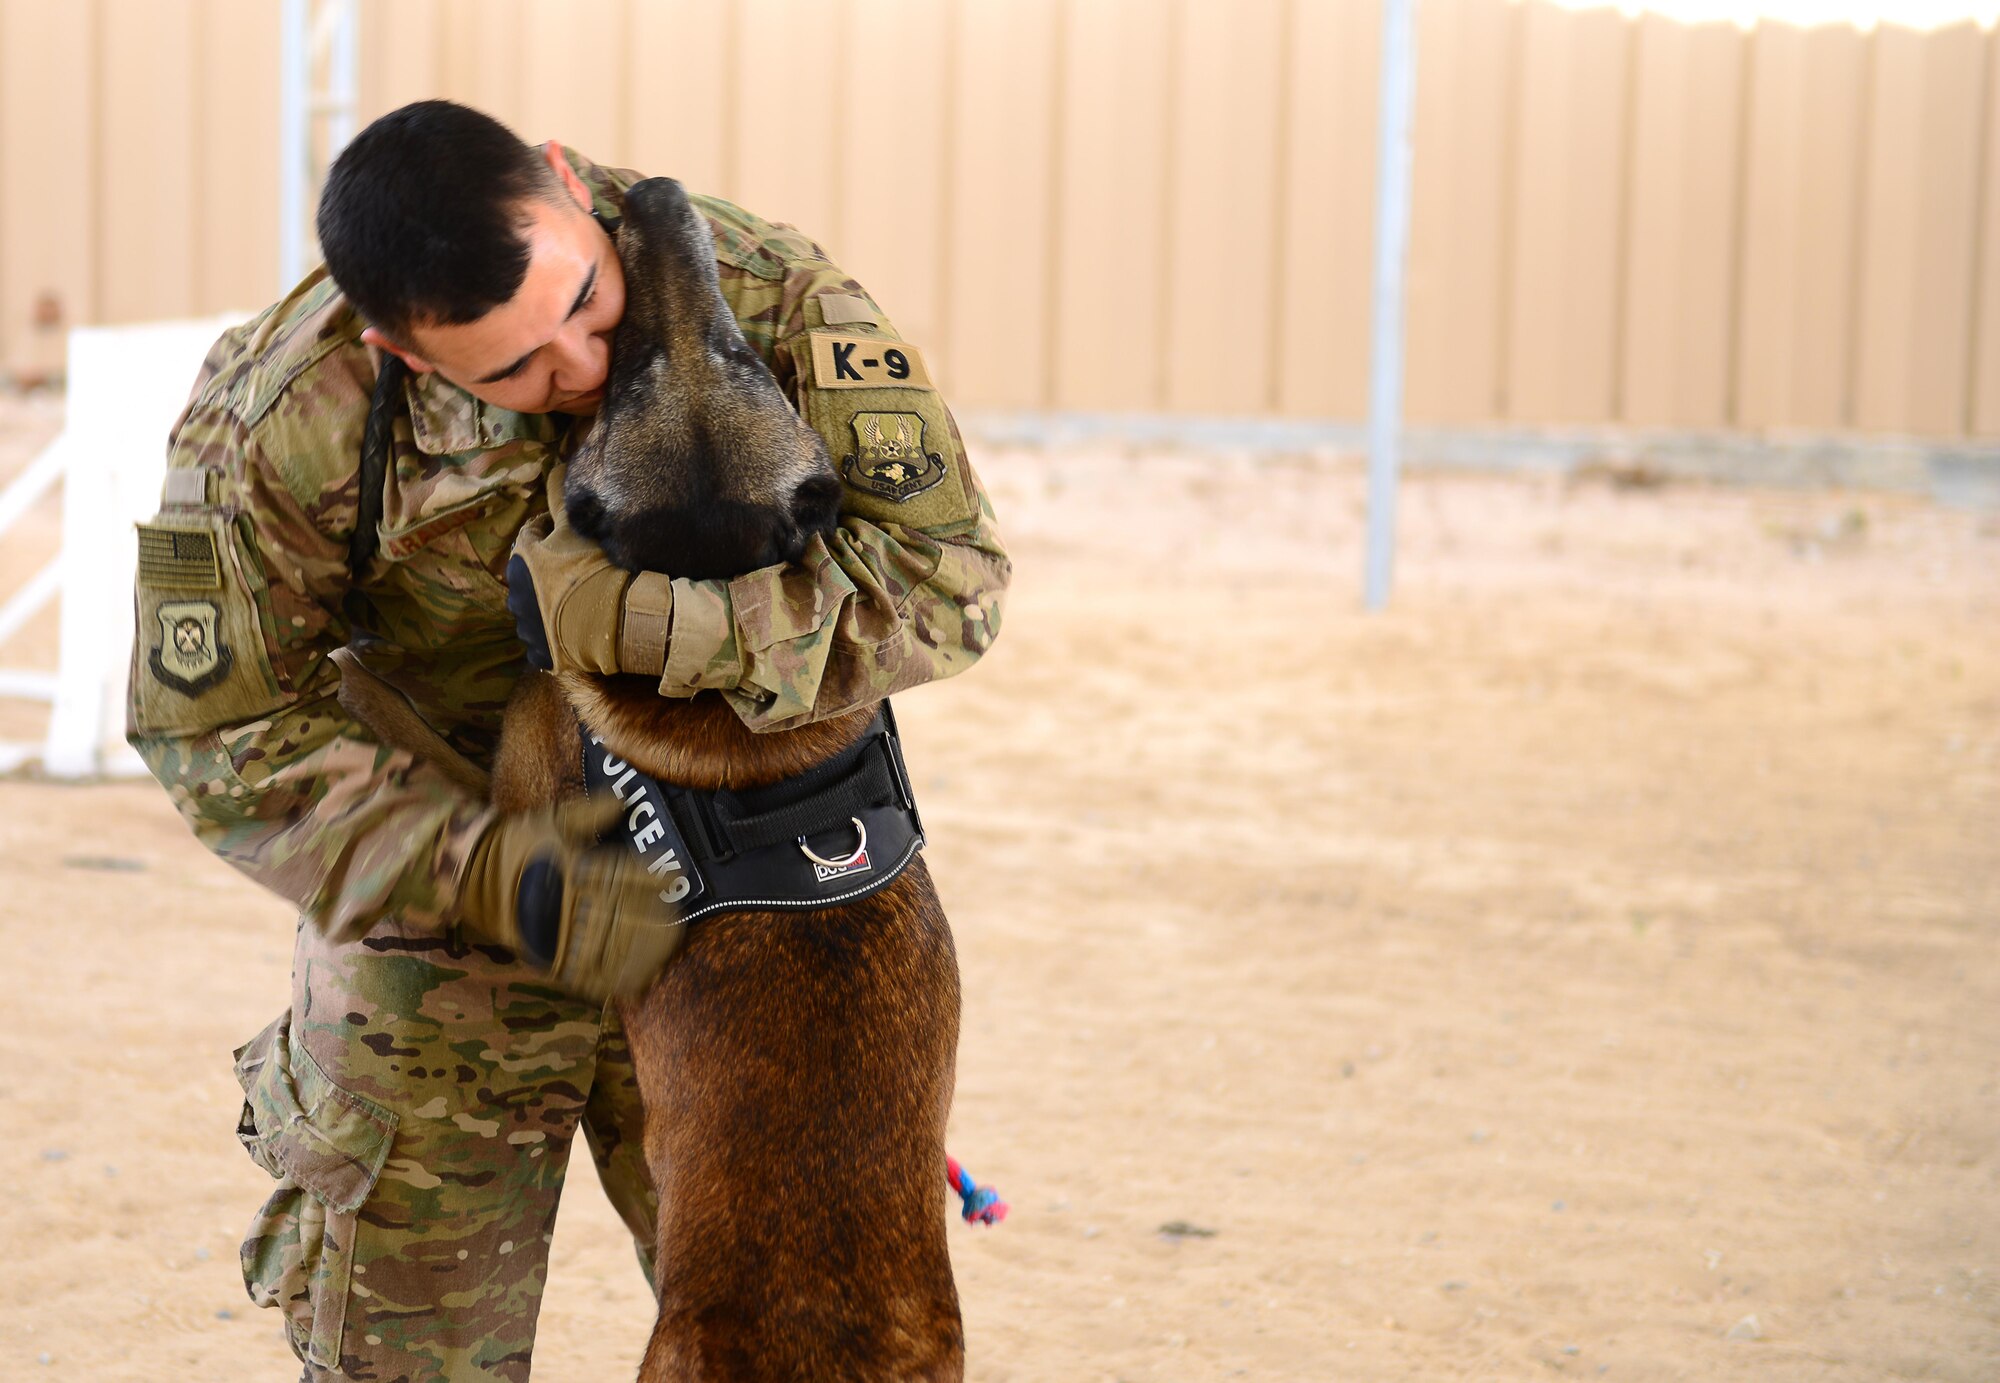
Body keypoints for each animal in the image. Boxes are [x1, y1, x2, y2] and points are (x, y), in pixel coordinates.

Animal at [344, 177, 968, 1375]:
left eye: (727, 351)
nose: (660, 195)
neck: (701, 587)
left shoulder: (520, 786)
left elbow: (436, 752)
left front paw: (363, 672)